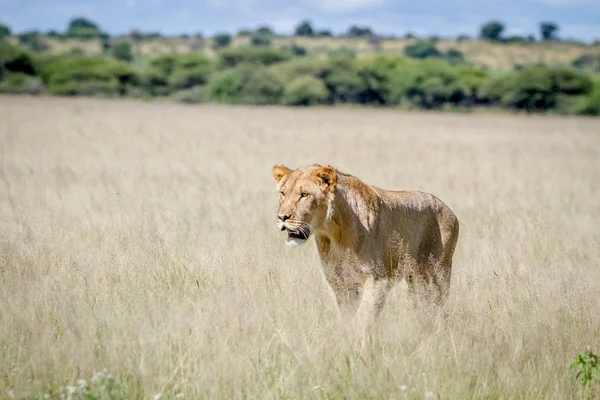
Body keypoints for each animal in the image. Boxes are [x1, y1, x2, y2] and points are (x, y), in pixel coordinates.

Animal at [272, 164, 460, 326]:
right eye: (283, 193)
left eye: (304, 195)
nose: (282, 217)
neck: (333, 233)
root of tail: (450, 211)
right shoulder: (340, 283)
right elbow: (344, 319)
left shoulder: (378, 279)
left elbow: (361, 319)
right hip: (415, 281)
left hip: (437, 277)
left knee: (440, 311)